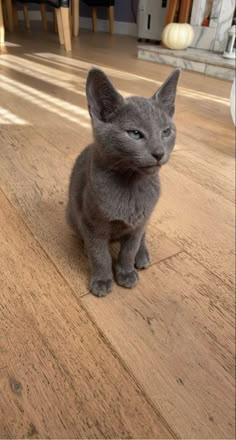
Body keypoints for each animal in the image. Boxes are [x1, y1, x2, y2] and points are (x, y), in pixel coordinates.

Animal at [66, 68, 181, 296]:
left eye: (166, 132)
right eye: (135, 134)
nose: (159, 153)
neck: (131, 186)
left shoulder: (138, 223)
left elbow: (129, 249)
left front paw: (126, 272)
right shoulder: (93, 224)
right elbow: (100, 254)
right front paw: (102, 279)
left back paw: (142, 255)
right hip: (72, 215)